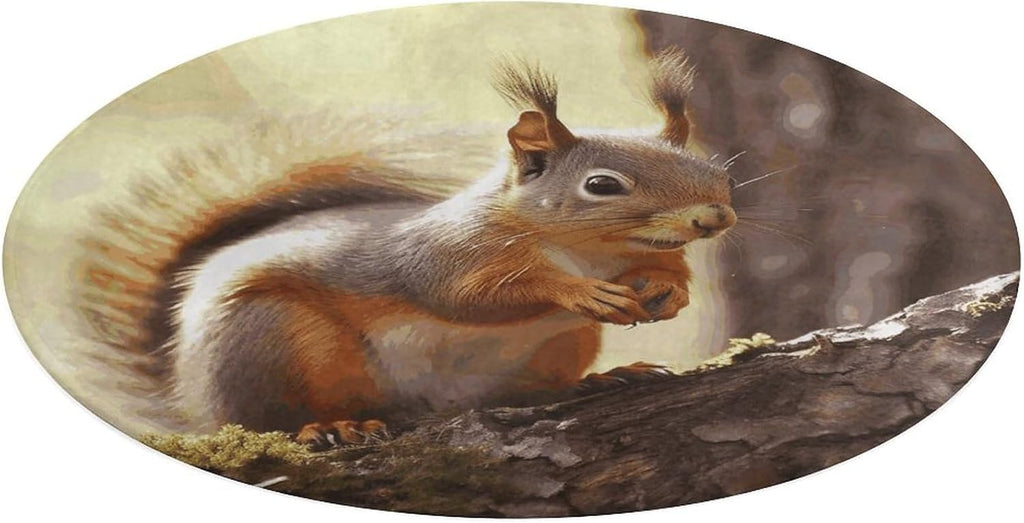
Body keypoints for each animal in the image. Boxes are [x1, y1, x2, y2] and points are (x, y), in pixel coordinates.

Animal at [77, 48, 736, 448]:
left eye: (712, 171)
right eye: (602, 185)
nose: (715, 217)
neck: (587, 250)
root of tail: (192, 404)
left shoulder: (649, 254)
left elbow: (664, 273)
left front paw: (666, 294)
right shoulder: (449, 253)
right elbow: (472, 296)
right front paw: (576, 292)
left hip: (557, 349)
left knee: (525, 392)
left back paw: (595, 382)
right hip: (271, 340)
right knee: (271, 421)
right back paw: (330, 427)